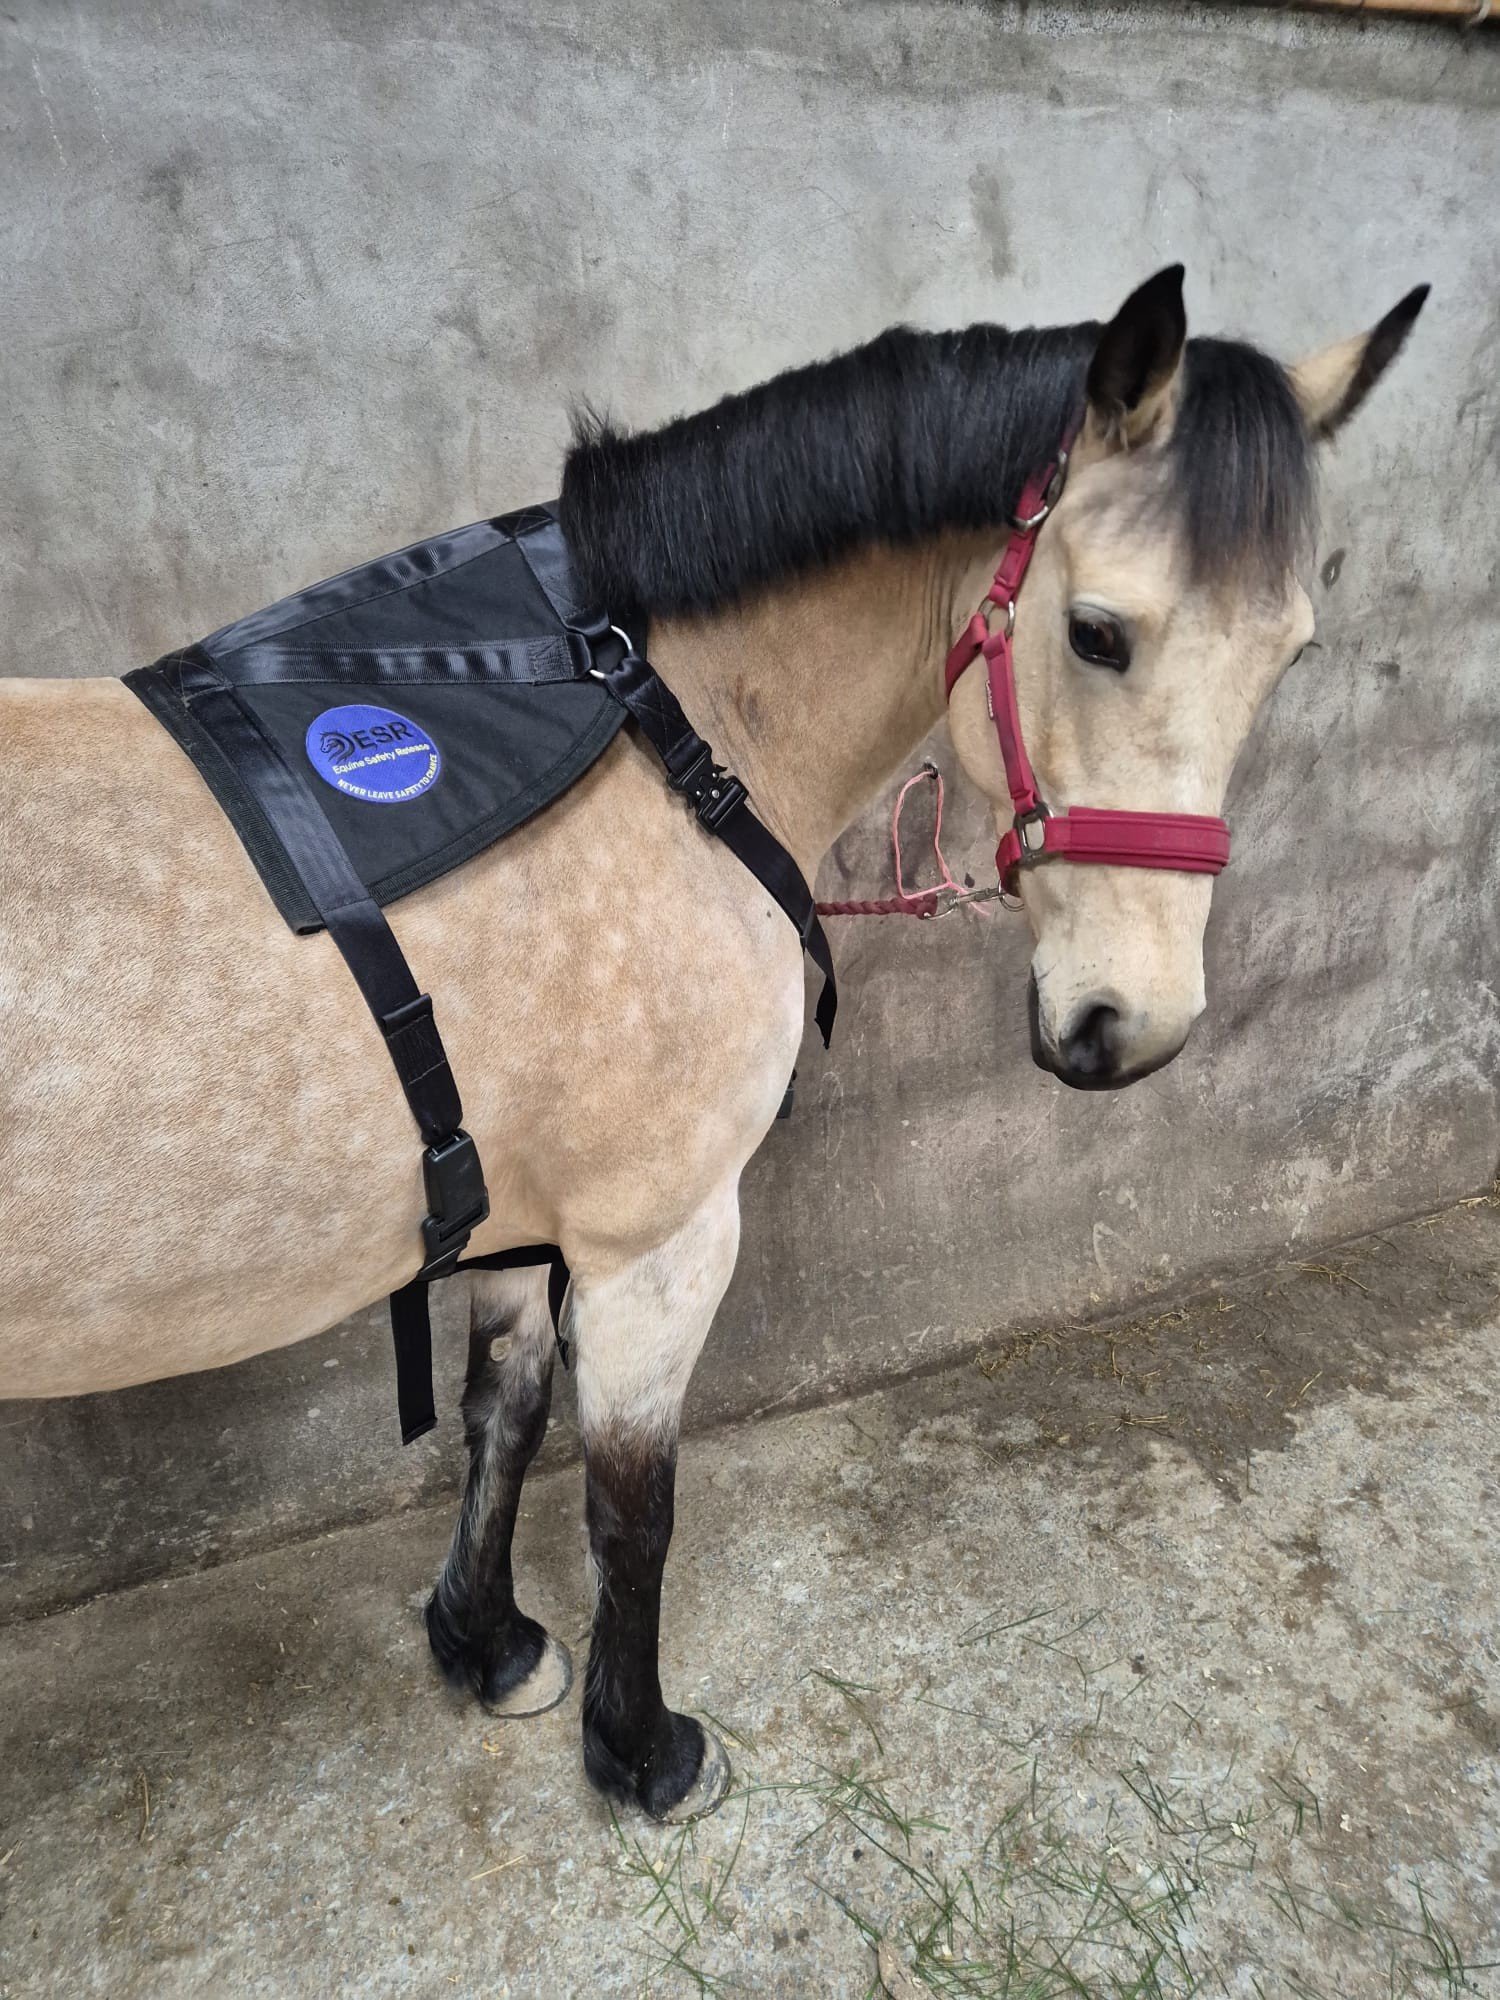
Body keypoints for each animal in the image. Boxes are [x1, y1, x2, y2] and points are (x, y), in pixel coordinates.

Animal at [0, 266, 1426, 1821]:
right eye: (1100, 631)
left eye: (1291, 652)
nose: (1134, 1026)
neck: (658, 742)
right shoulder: (659, 1239)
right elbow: (633, 1509)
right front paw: (641, 1751)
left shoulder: (530, 1223)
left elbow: (503, 1409)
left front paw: (485, 1641)